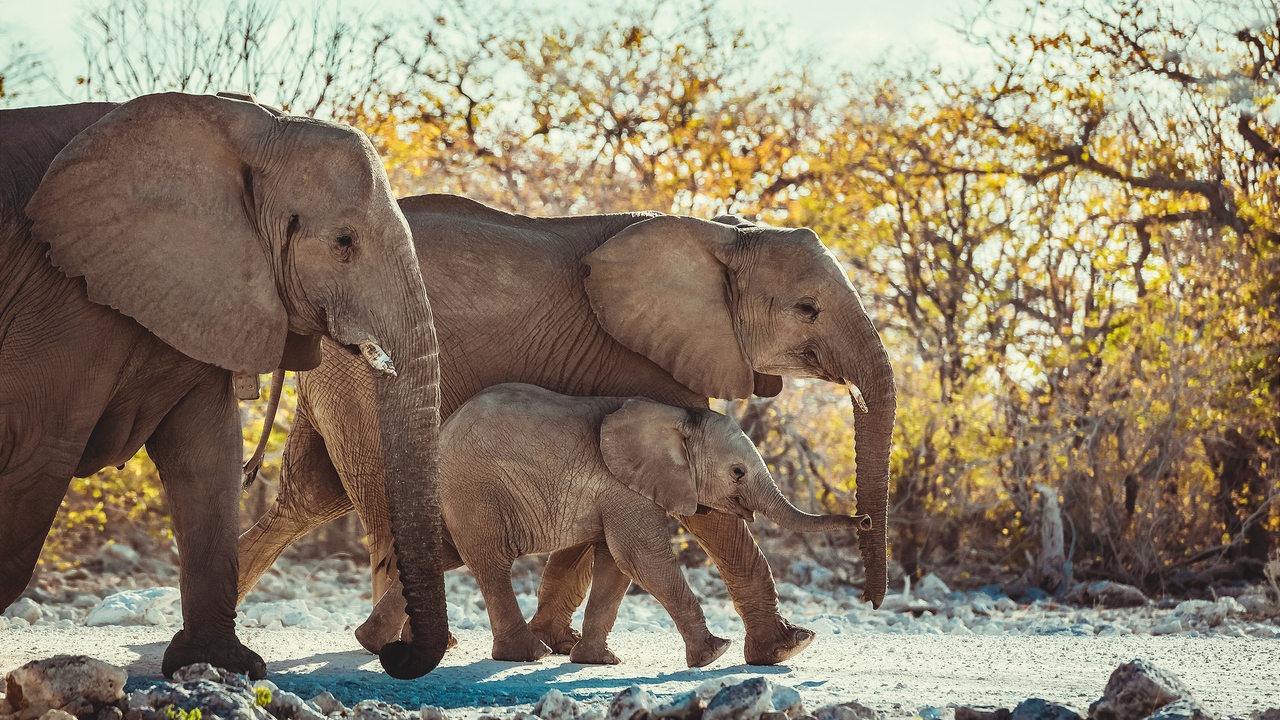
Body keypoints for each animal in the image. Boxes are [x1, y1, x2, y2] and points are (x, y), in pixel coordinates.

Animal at [0, 92, 450, 676]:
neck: (246, 127)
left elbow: (207, 455)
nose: (396, 655)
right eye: (343, 242)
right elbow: (38, 458)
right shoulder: (61, 304)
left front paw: (220, 665)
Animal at [366, 381, 875, 666]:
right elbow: (642, 559)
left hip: (455, 495)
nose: (867, 519)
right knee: (489, 563)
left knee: (443, 554)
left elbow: (616, 566)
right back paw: (524, 655)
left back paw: (372, 644)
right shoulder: (624, 487)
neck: (676, 419)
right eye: (737, 473)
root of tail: (442, 431)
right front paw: (715, 654)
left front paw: (599, 662)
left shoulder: (620, 492)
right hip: (475, 491)